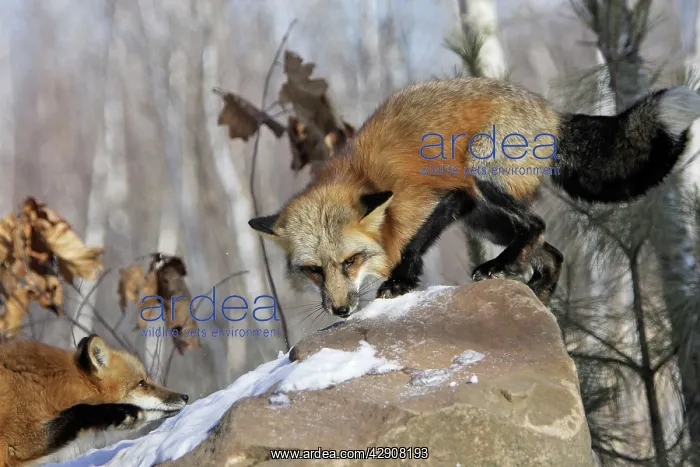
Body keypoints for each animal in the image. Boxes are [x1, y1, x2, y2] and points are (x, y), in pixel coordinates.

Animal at [248, 77, 700, 316]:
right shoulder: (460, 204)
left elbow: (413, 244)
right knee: (551, 252)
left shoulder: (449, 196)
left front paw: (400, 281)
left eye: (350, 261)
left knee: (537, 224)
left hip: (483, 175)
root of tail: (552, 113)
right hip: (488, 220)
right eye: (312, 271)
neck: (361, 177)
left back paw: (500, 268)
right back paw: (536, 299)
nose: (340, 310)